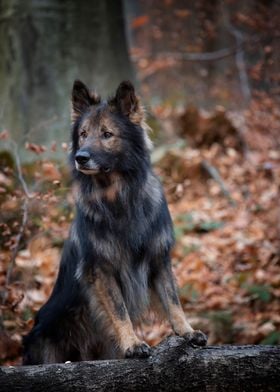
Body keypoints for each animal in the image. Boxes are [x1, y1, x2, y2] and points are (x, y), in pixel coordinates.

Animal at [22, 79, 208, 364]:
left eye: (107, 134)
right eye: (83, 134)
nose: (80, 157)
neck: (119, 197)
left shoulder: (158, 259)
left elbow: (173, 300)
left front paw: (187, 331)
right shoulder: (101, 269)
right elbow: (119, 310)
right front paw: (133, 343)